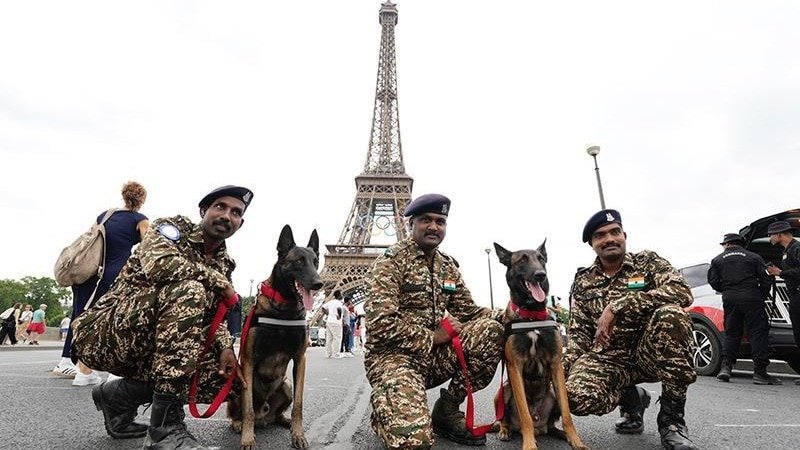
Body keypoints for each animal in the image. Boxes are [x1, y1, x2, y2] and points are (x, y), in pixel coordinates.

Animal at [227, 225, 324, 450]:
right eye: (299, 261)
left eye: (315, 261)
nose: (319, 283)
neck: (285, 308)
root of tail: (265, 417)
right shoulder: (248, 361)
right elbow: (248, 409)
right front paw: (247, 438)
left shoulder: (300, 360)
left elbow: (299, 405)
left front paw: (298, 434)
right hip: (236, 383)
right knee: (240, 413)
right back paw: (238, 424)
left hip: (286, 385)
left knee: (278, 414)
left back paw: (284, 421)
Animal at [490, 243, 584, 450]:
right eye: (522, 260)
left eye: (541, 259)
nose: (541, 275)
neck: (532, 316)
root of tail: (539, 425)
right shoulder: (515, 367)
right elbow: (524, 414)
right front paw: (529, 444)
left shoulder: (556, 365)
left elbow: (567, 413)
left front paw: (576, 440)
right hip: (503, 391)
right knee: (504, 419)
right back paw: (505, 431)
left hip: (552, 393)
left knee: (551, 426)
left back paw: (560, 433)